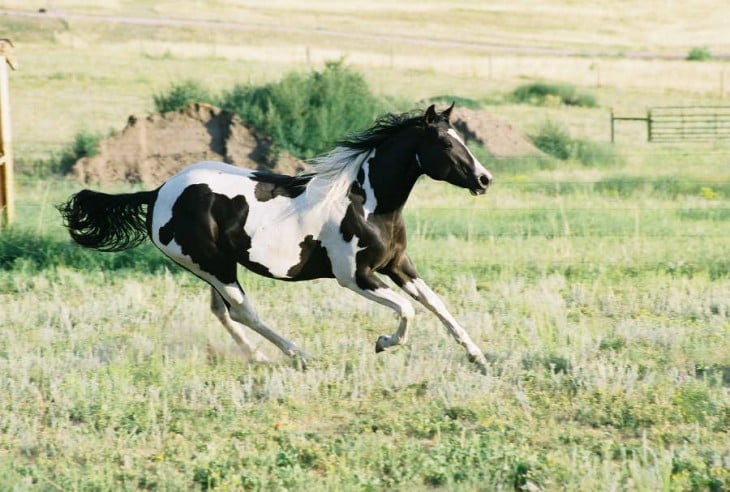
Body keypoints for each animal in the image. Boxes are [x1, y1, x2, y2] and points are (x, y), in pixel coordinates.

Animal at [59, 104, 492, 372]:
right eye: (445, 143)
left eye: (462, 138)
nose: (485, 179)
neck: (366, 203)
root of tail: (159, 192)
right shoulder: (355, 277)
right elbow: (407, 311)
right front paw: (383, 343)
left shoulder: (398, 265)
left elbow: (436, 304)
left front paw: (479, 357)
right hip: (211, 265)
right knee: (243, 312)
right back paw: (299, 356)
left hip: (215, 268)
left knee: (222, 312)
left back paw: (259, 359)